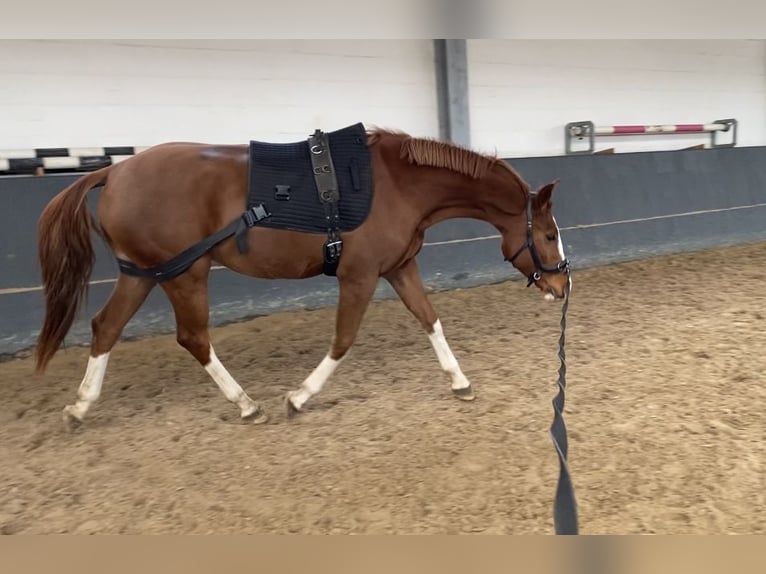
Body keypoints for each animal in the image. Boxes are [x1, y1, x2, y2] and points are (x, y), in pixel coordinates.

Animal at [33, 125, 571, 428]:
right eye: (548, 235)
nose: (562, 284)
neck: (397, 185)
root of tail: (114, 172)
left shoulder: (398, 268)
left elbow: (429, 319)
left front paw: (459, 380)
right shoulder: (358, 276)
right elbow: (343, 340)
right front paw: (299, 396)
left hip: (145, 273)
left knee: (106, 328)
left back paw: (80, 407)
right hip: (184, 274)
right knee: (193, 337)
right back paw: (246, 405)